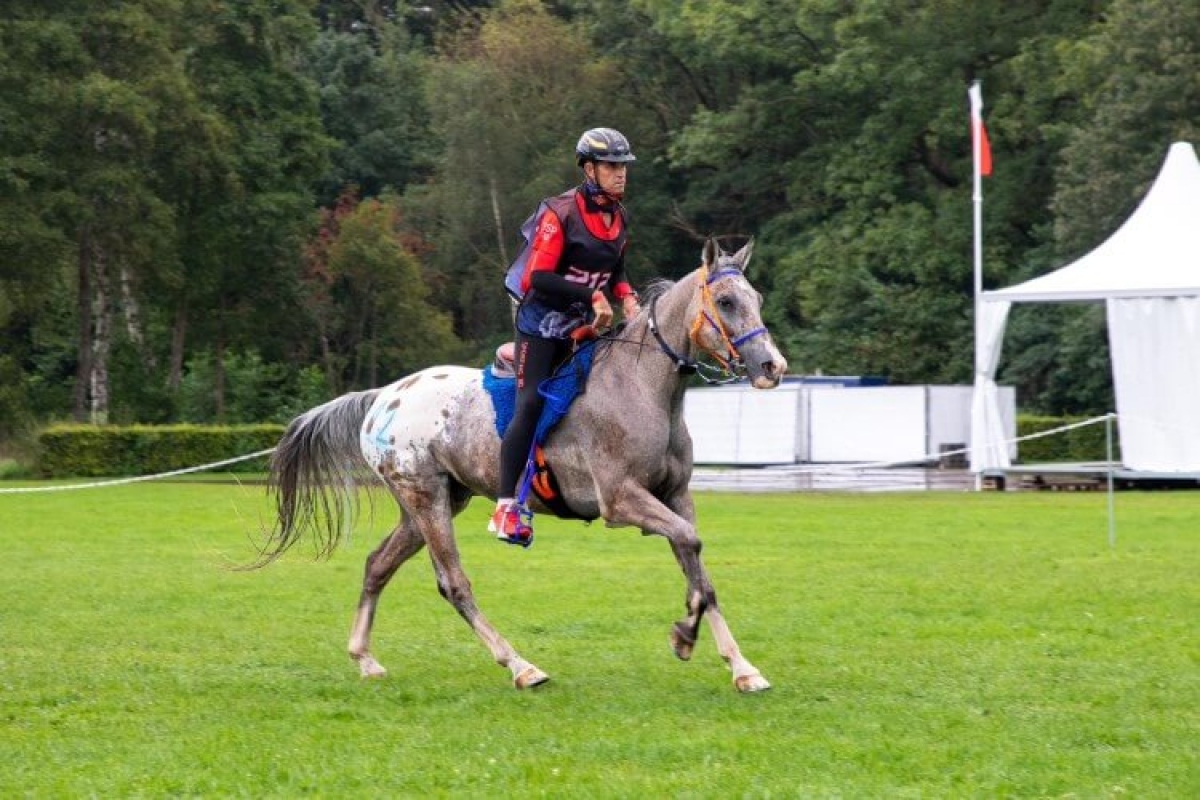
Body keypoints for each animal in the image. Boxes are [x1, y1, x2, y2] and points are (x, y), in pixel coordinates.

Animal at [255, 235, 787, 690]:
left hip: (434, 503)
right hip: (426, 499)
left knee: (376, 565)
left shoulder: (675, 495)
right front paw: (684, 635)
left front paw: (741, 668)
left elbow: (700, 569)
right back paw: (521, 666)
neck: (641, 387)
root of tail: (383, 396)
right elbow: (690, 545)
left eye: (756, 297)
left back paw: (364, 657)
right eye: (726, 302)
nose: (772, 367)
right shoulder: (621, 500)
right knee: (454, 584)